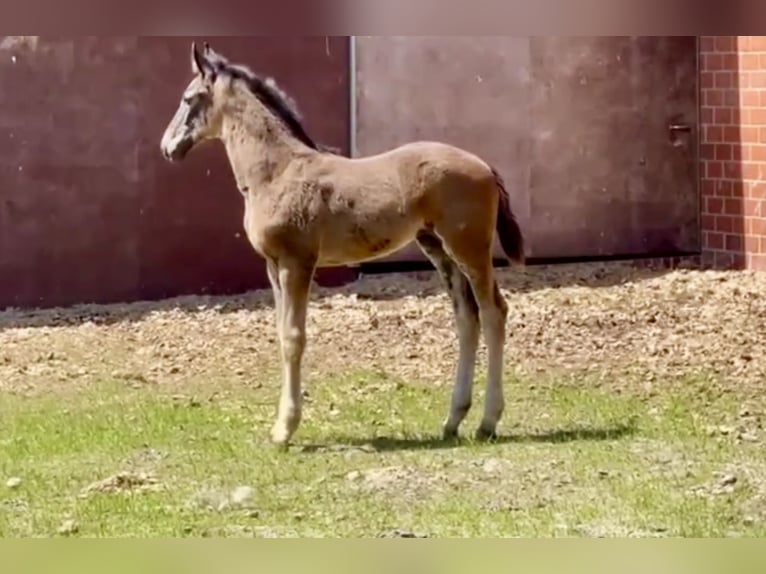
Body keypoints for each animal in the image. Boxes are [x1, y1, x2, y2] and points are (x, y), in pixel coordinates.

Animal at [160, 42, 525, 447]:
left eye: (188, 98)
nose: (167, 147)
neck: (276, 171)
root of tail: (486, 166)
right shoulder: (272, 265)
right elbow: (280, 334)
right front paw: (281, 424)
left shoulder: (297, 261)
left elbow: (293, 337)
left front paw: (284, 430)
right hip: (437, 247)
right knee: (466, 316)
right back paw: (452, 420)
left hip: (469, 247)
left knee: (493, 312)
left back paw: (487, 422)